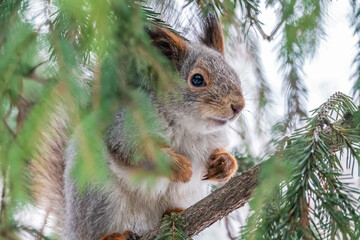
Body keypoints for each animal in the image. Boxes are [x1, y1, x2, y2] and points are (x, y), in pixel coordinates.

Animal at [31, 14, 245, 239]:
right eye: (197, 79)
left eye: (234, 73)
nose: (238, 106)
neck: (188, 128)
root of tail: (71, 229)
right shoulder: (124, 130)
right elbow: (138, 153)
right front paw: (181, 168)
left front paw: (225, 164)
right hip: (99, 195)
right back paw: (112, 236)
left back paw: (175, 212)